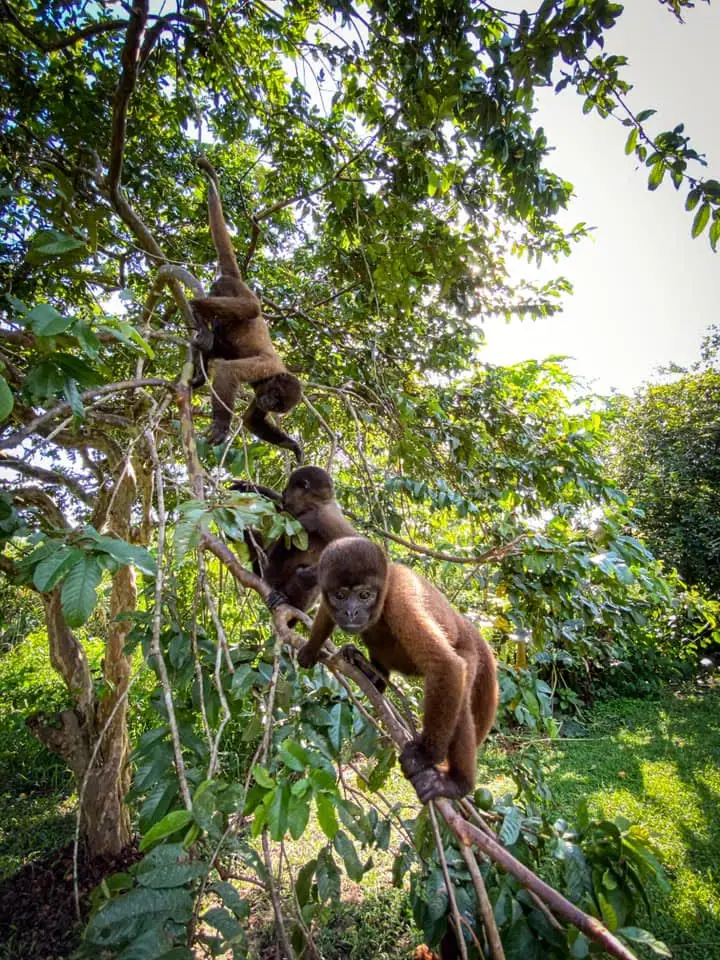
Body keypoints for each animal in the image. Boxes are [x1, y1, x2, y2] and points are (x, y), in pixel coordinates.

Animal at [190, 157, 303, 460]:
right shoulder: (264, 368)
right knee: (252, 307)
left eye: (277, 405)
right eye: (276, 398)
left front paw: (293, 446)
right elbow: (228, 372)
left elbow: (252, 419)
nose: (268, 402)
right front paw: (221, 424)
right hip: (233, 289)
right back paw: (198, 308)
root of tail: (239, 280)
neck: (275, 375)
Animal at [231, 466, 357, 613]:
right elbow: (282, 510)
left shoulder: (324, 517)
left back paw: (285, 595)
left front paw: (306, 575)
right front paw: (247, 487)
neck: (319, 504)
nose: (284, 491)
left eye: (288, 489)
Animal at [297, 537, 498, 804]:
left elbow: (445, 664)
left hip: (469, 652)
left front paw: (425, 756)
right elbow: (325, 614)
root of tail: (468, 627)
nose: (351, 611)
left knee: (460, 695)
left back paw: (458, 783)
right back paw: (369, 672)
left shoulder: (400, 602)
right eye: (340, 595)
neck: (386, 583)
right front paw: (311, 647)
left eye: (364, 595)